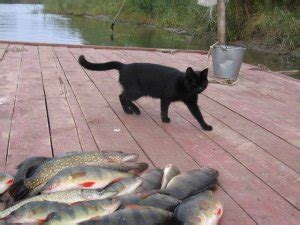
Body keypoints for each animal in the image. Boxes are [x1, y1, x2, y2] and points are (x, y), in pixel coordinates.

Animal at [78, 55, 212, 131]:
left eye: (203, 83)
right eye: (193, 83)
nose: (200, 88)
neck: (186, 91)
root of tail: (124, 66)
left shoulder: (192, 103)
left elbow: (199, 115)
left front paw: (205, 126)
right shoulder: (165, 98)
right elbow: (164, 110)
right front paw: (165, 119)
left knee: (123, 97)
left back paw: (131, 110)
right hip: (137, 91)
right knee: (123, 96)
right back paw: (133, 110)